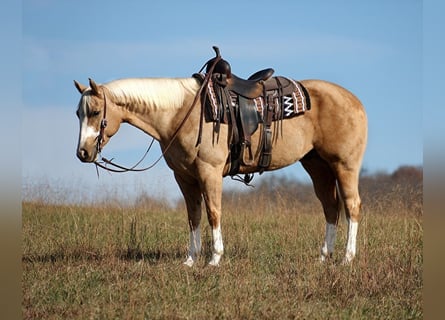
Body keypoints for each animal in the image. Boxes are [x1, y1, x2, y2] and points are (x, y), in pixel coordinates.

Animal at [74, 69, 368, 266]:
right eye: (78, 113)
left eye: (96, 112)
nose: (82, 153)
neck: (182, 113)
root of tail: (355, 101)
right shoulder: (184, 177)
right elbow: (193, 216)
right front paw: (190, 260)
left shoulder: (209, 171)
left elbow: (213, 212)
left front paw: (214, 258)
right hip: (317, 166)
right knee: (331, 207)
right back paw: (324, 257)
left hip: (344, 166)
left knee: (351, 206)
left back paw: (347, 258)